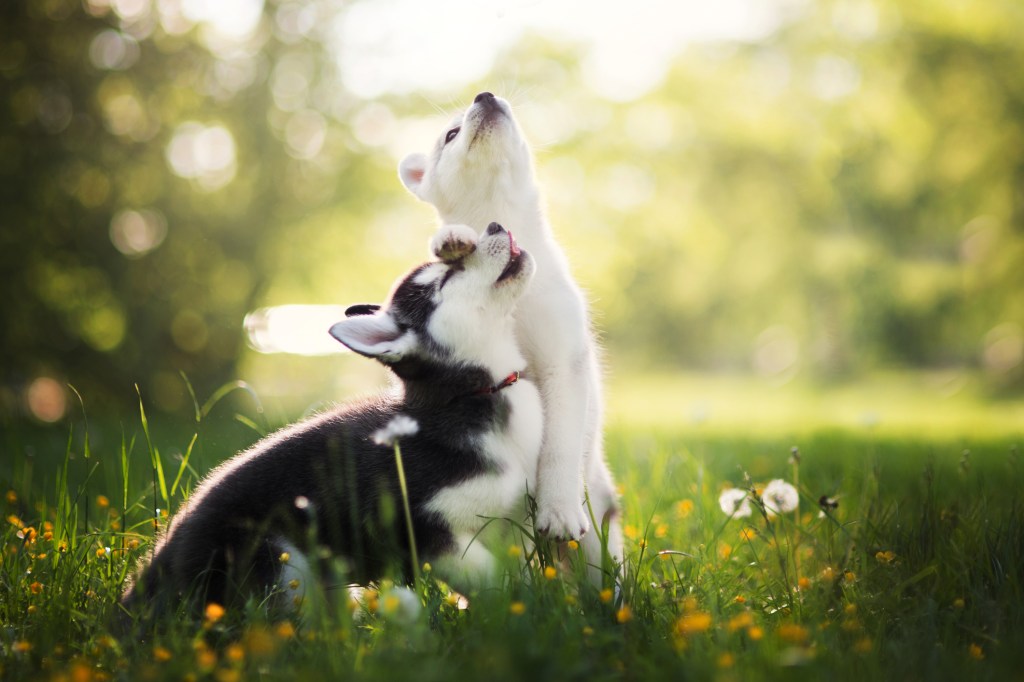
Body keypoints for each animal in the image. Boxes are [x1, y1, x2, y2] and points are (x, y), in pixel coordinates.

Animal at [122, 224, 540, 614]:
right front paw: (523, 609)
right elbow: (492, 579)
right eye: (447, 277)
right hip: (279, 562)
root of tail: (164, 555)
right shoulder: (426, 530)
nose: (495, 225)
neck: (473, 394)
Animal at [397, 93, 622, 577]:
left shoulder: (563, 363)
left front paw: (558, 508)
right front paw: (453, 238)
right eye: (450, 134)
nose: (485, 96)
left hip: (599, 527)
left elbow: (559, 444)